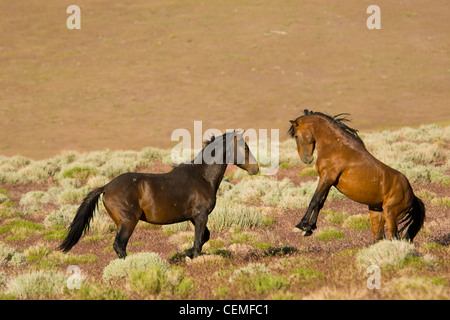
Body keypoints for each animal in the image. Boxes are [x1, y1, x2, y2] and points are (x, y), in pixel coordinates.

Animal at [58, 131, 258, 258]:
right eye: (245, 148)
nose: (255, 169)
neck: (202, 176)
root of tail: (106, 187)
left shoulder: (194, 217)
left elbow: (204, 238)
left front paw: (184, 253)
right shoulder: (201, 216)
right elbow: (198, 242)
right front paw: (190, 255)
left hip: (120, 223)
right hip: (129, 221)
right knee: (119, 245)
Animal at [288, 110, 426, 242]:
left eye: (296, 136)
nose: (306, 159)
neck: (336, 147)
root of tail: (412, 196)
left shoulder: (327, 178)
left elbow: (314, 201)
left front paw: (301, 226)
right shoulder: (327, 181)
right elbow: (320, 203)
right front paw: (309, 229)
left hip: (390, 215)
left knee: (395, 238)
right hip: (377, 213)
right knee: (379, 238)